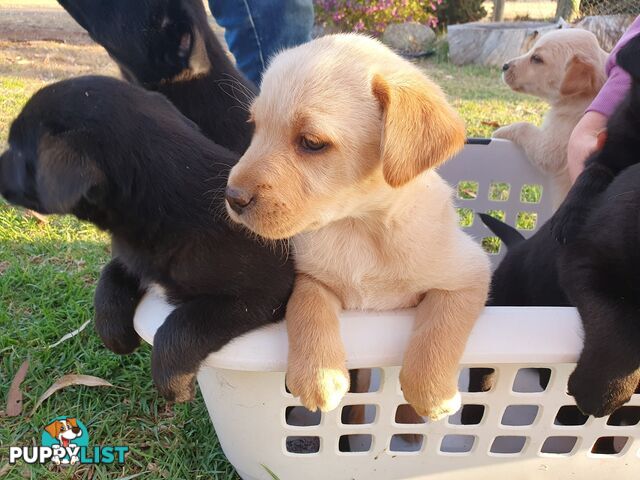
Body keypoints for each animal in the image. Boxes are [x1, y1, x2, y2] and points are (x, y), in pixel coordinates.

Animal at [0, 77, 296, 402]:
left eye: (16, 150)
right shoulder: (133, 258)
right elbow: (108, 278)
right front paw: (115, 335)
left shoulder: (262, 293)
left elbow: (183, 323)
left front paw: (174, 384)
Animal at [226, 33, 490, 418]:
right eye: (255, 127)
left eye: (312, 143)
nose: (232, 197)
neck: (361, 227)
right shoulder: (311, 276)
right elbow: (306, 307)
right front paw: (318, 376)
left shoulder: (469, 275)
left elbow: (439, 330)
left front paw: (432, 394)